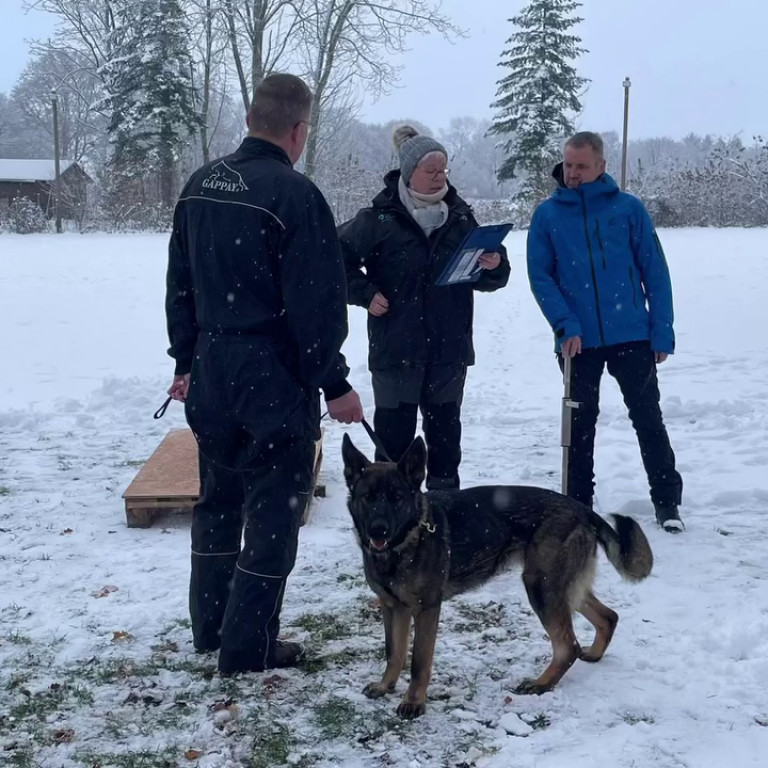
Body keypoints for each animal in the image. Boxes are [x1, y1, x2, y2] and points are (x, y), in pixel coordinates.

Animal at [341, 433, 654, 719]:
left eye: (396, 498)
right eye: (368, 497)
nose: (378, 529)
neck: (406, 540)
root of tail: (582, 509)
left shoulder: (426, 609)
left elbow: (418, 660)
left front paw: (414, 702)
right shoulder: (393, 608)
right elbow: (393, 651)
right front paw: (385, 686)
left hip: (541, 586)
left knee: (569, 645)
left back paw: (541, 684)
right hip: (561, 588)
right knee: (607, 617)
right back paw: (593, 654)